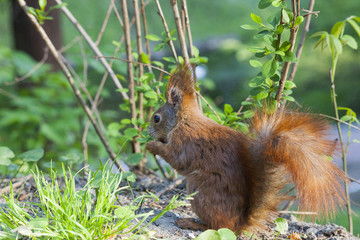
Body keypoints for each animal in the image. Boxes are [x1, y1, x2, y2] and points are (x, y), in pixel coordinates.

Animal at [146, 64, 346, 232]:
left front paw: (151, 146)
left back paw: (190, 223)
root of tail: (240, 223)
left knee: (217, 227)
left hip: (199, 190)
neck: (183, 121)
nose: (148, 133)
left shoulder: (184, 142)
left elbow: (177, 159)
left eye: (156, 118)